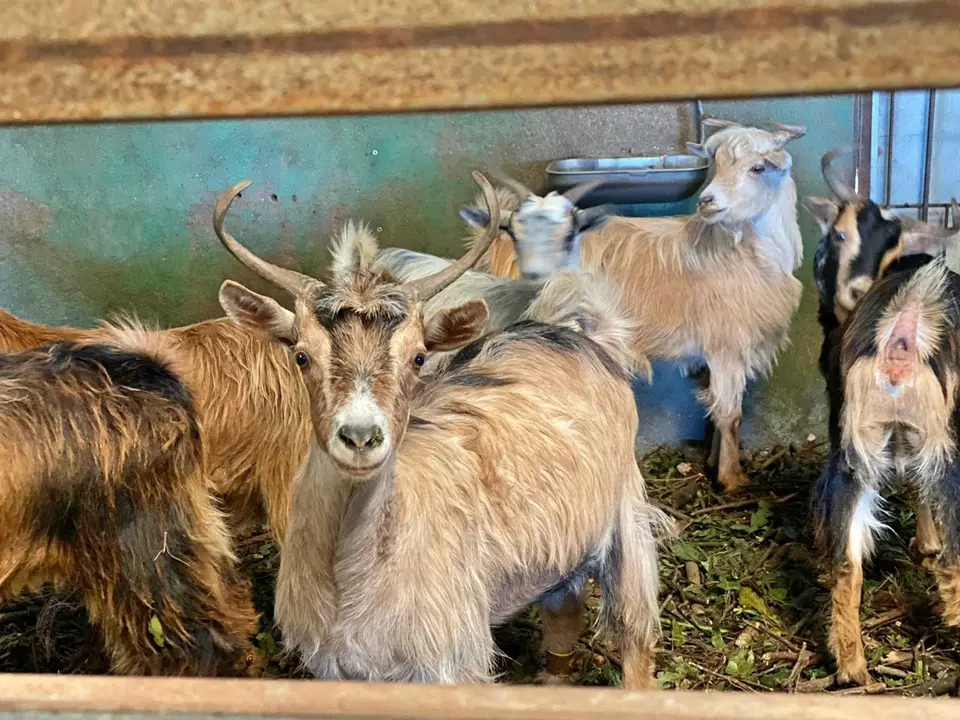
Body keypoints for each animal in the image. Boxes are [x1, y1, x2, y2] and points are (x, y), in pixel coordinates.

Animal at [213, 172, 667, 689]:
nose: (361, 437)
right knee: (563, 613)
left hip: (627, 517)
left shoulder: (452, 663)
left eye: (418, 357)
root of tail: (569, 328)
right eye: (301, 355)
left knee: (635, 635)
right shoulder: (335, 669)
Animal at [460, 119, 806, 493]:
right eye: (717, 165)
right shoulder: (726, 345)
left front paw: (715, 464)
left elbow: (715, 413)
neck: (736, 250)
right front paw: (733, 479)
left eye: (758, 168)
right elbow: (731, 415)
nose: (707, 201)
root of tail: (498, 237)